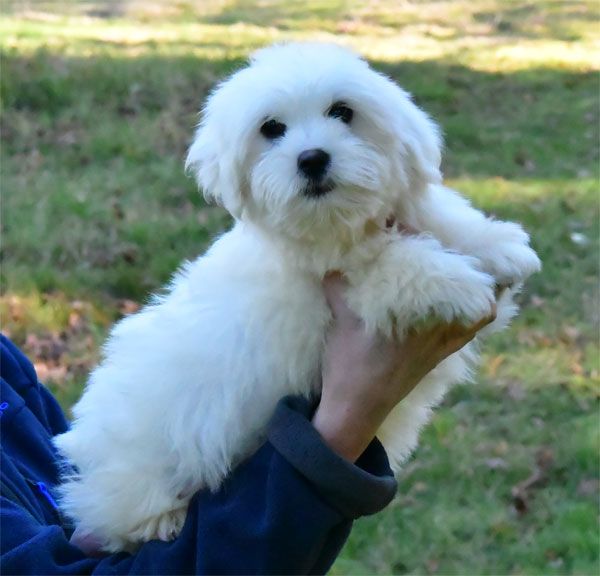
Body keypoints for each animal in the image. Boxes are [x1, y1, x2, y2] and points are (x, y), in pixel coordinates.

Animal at [54, 42, 540, 552]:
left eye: (343, 112)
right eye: (271, 129)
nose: (311, 158)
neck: (335, 225)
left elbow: (438, 214)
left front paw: (498, 246)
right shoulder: (346, 281)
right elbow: (391, 266)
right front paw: (459, 283)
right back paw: (160, 520)